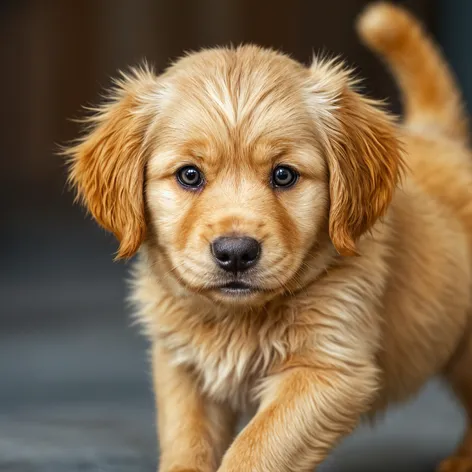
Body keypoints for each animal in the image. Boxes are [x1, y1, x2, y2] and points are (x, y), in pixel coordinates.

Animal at [65, 3, 472, 472]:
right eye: (189, 175)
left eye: (284, 175)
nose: (235, 253)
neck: (238, 318)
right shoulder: (183, 367)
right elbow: (187, 441)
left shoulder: (330, 368)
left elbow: (256, 448)